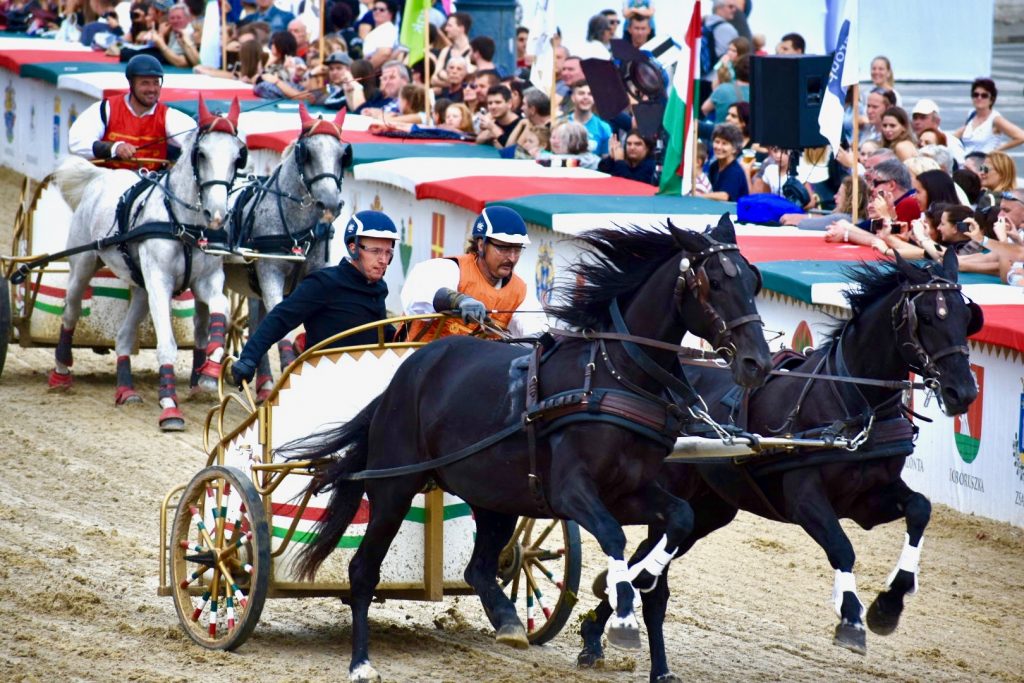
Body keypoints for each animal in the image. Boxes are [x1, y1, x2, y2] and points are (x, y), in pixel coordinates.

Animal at [53, 96, 247, 430]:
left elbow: (220, 308)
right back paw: (61, 372)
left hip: (141, 289)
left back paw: (125, 390)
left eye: (238, 156)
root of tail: (102, 177)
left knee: (123, 338)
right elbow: (167, 343)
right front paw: (170, 407)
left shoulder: (207, 281)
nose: (218, 214)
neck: (184, 224)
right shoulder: (160, 282)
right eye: (201, 154)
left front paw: (209, 373)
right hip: (83, 264)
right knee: (71, 311)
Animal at [228, 103, 348, 397]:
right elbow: (278, 321)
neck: (297, 230)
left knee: (256, 321)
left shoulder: (315, 274)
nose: (330, 203)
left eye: (343, 155)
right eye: (307, 153)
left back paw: (262, 380)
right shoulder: (270, 271)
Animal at [280, 216, 770, 679]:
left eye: (754, 281)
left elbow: (679, 520)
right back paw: (361, 663)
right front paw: (622, 617)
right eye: (714, 282)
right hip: (394, 486)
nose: (757, 363)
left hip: (494, 494)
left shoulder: (630, 491)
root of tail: (406, 374)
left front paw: (632, 582)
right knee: (363, 571)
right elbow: (613, 535)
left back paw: (510, 622)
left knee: (478, 568)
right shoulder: (573, 491)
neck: (613, 377)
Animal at [577, 248, 983, 679]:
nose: (963, 391)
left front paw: (889, 604)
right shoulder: (806, 499)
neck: (850, 402)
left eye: (965, 317)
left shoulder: (869, 500)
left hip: (709, 511)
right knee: (651, 577)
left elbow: (920, 509)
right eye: (926, 317)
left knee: (647, 565)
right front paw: (851, 618)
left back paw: (600, 631)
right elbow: (842, 548)